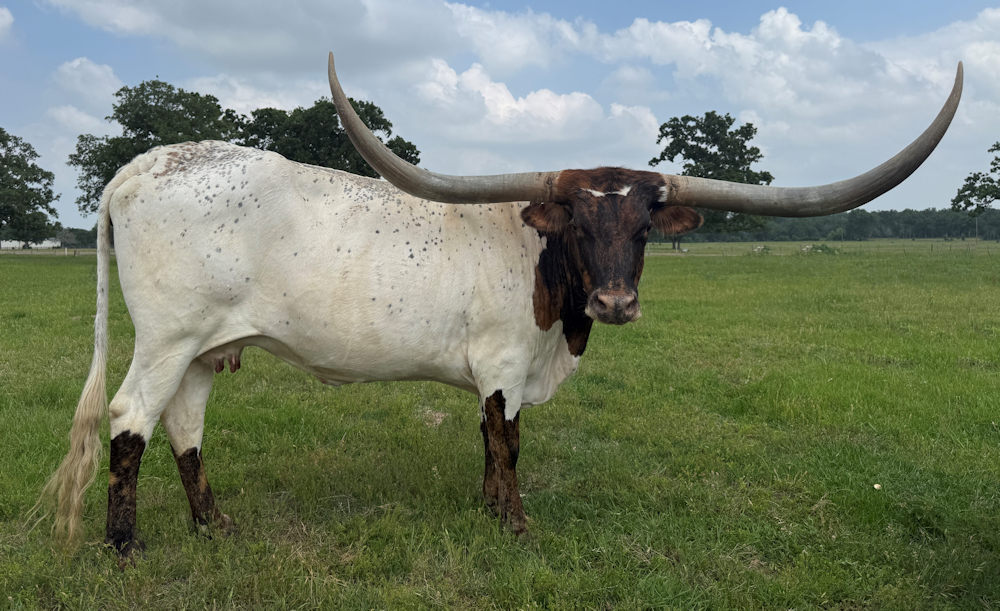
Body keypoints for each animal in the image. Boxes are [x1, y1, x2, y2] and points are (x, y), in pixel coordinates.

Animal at [37, 54, 962, 558]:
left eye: (644, 224)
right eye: (580, 220)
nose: (616, 300)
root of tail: (141, 165)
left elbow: (489, 442)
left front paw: (487, 511)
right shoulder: (506, 363)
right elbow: (508, 439)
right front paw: (515, 523)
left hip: (203, 347)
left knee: (185, 429)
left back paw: (215, 525)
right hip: (166, 339)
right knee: (130, 420)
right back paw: (125, 546)